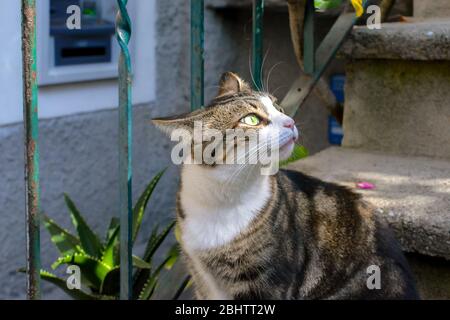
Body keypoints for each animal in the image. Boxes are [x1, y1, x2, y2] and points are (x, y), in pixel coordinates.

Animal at [153, 72, 420, 300]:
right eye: (251, 119)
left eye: (278, 107)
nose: (290, 122)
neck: (223, 196)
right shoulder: (201, 277)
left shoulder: (267, 281)